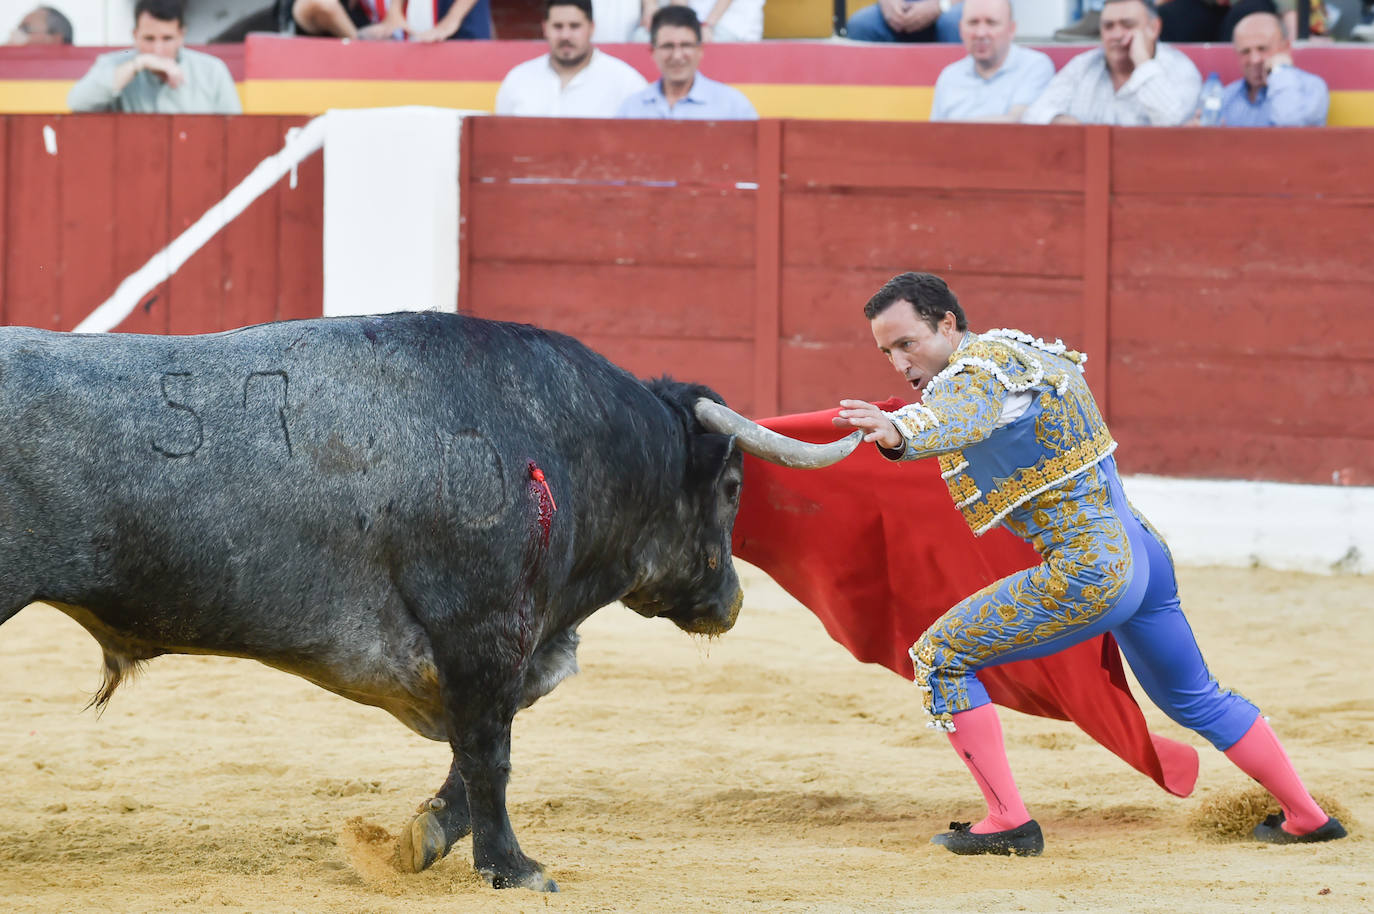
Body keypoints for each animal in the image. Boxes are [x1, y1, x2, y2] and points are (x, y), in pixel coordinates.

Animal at [0, 311, 857, 890]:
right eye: (734, 485)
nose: (731, 602)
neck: (563, 438)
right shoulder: (484, 630)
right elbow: (489, 752)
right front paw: (513, 867)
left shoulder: (501, 647)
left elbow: (479, 751)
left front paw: (429, 836)